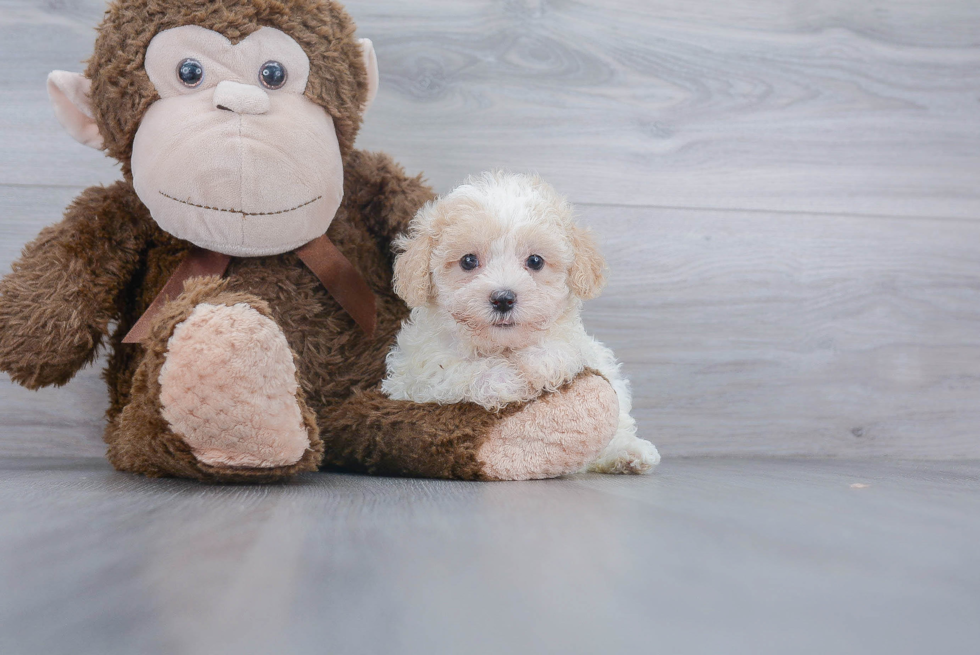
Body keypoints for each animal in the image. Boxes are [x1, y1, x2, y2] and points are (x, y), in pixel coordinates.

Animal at [380, 172, 660, 474]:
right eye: (468, 261)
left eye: (535, 261)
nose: (503, 299)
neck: (502, 346)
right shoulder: (416, 373)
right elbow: (458, 369)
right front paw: (509, 380)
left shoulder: (581, 347)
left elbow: (561, 350)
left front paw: (538, 365)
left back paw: (629, 452)